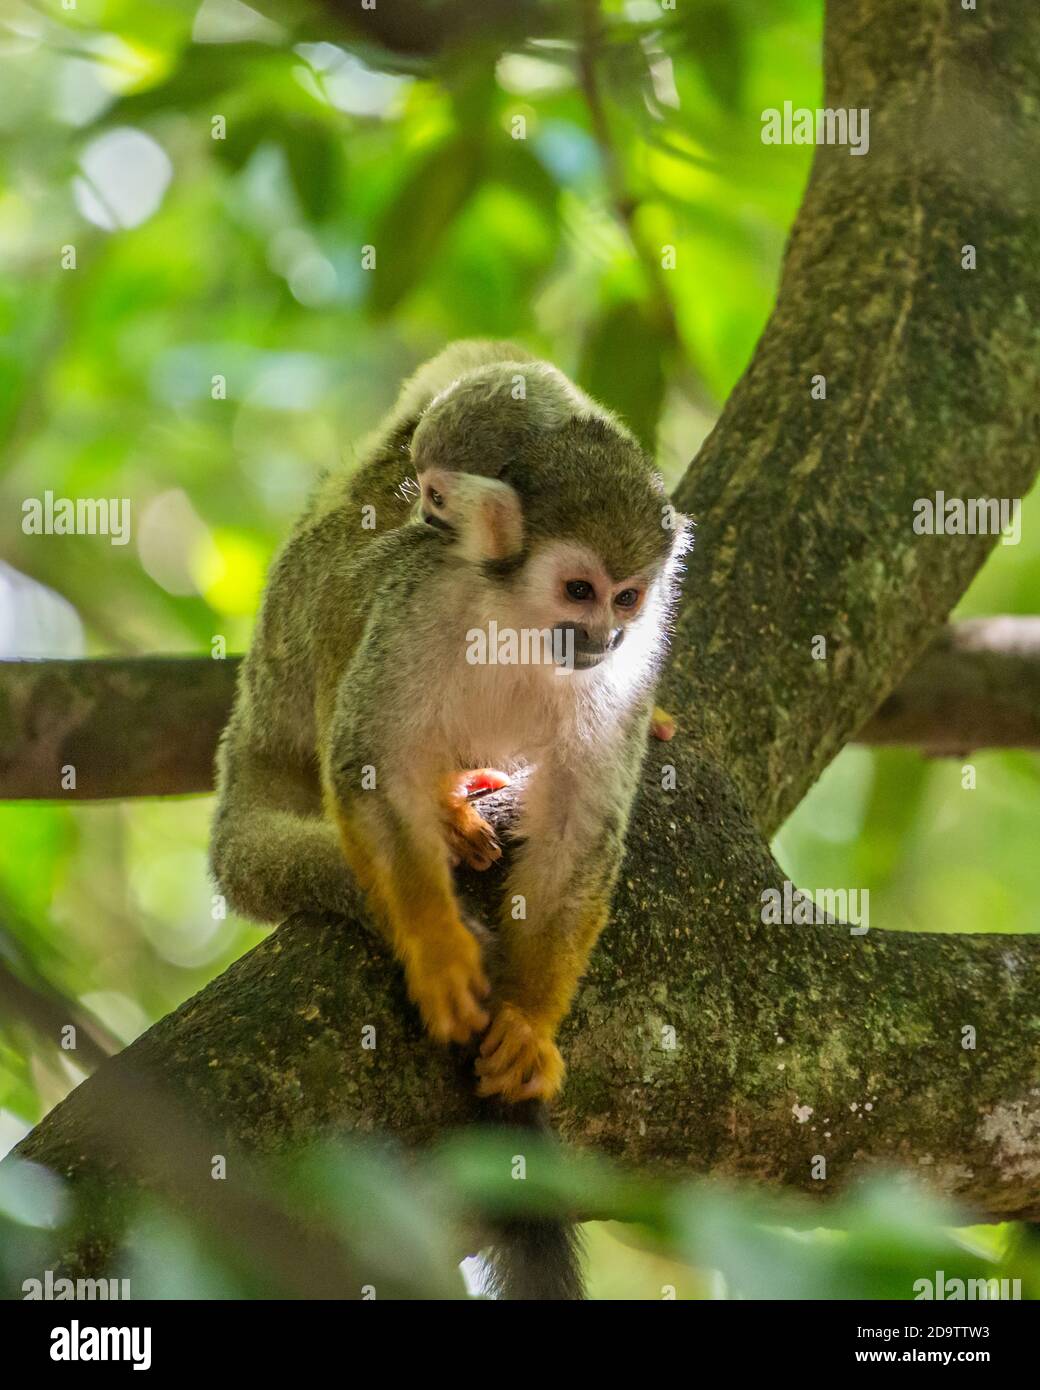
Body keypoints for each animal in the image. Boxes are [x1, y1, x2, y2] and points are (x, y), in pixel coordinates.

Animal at [210, 341, 690, 1296]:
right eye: (578, 588)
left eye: (626, 598)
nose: (603, 638)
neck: (523, 626)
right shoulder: (424, 602)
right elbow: (368, 764)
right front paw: (438, 947)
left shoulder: (626, 671)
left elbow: (581, 828)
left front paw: (527, 1023)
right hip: (286, 667)